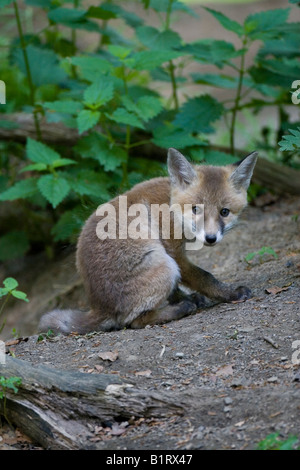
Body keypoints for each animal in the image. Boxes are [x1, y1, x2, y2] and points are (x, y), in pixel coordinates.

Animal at [38, 147, 258, 334]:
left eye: (224, 212)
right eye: (196, 209)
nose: (210, 238)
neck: (171, 205)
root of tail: (99, 307)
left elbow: (177, 290)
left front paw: (189, 297)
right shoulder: (173, 253)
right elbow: (205, 277)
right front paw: (230, 294)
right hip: (163, 264)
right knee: (133, 322)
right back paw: (181, 309)